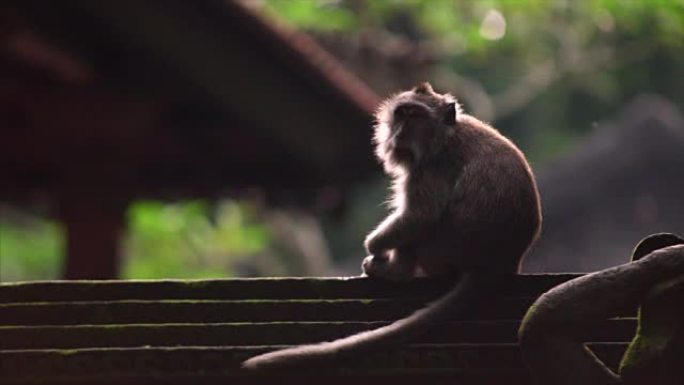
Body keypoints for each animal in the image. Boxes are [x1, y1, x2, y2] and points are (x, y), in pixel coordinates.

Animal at [243, 81, 544, 368]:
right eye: (401, 115)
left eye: (416, 116)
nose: (399, 136)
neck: (446, 134)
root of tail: (493, 267)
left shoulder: (430, 168)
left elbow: (420, 215)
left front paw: (373, 246)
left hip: (441, 250)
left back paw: (395, 271)